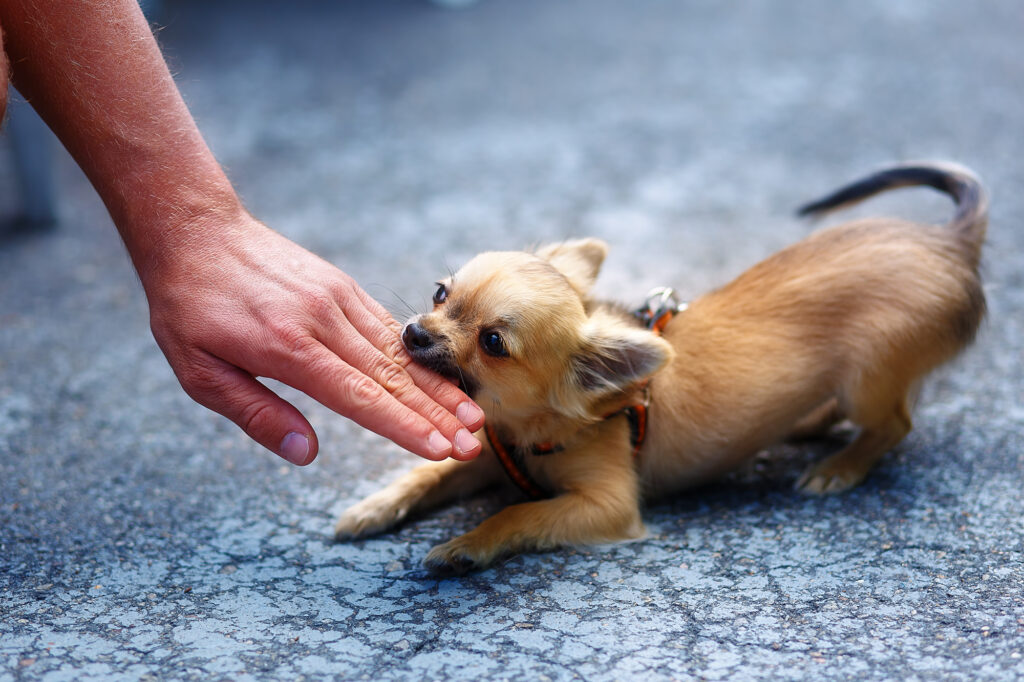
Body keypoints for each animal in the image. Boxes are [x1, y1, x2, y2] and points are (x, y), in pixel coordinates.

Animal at [333, 161, 983, 569]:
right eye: (440, 293)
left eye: (492, 342)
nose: (414, 331)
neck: (528, 429)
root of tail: (950, 242)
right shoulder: (491, 459)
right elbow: (428, 475)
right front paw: (372, 508)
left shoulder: (605, 506)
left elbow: (517, 514)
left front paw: (466, 545)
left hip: (866, 380)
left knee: (894, 424)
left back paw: (840, 466)